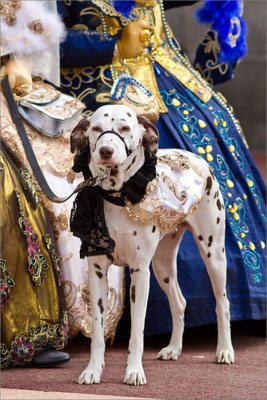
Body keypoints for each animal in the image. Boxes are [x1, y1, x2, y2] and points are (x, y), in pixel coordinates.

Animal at [70, 104, 234, 386]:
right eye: (96, 128)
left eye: (125, 127)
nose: (106, 151)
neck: (117, 196)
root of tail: (195, 156)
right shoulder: (98, 272)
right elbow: (98, 331)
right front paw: (93, 370)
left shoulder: (139, 272)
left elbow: (137, 331)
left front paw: (134, 371)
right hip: (162, 265)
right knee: (179, 302)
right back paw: (174, 349)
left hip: (213, 255)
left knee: (222, 302)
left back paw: (224, 350)